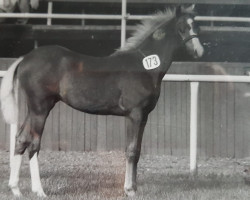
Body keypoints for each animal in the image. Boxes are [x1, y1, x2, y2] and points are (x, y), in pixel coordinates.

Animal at [0, 5, 203, 198]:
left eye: (196, 25)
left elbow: (137, 151)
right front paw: (129, 190)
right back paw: (39, 191)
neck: (144, 66)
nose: (199, 51)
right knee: (34, 143)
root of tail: (24, 59)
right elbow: (131, 150)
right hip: (40, 108)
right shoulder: (134, 114)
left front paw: (134, 189)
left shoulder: (144, 117)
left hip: (35, 109)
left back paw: (16, 189)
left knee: (21, 139)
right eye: (182, 27)